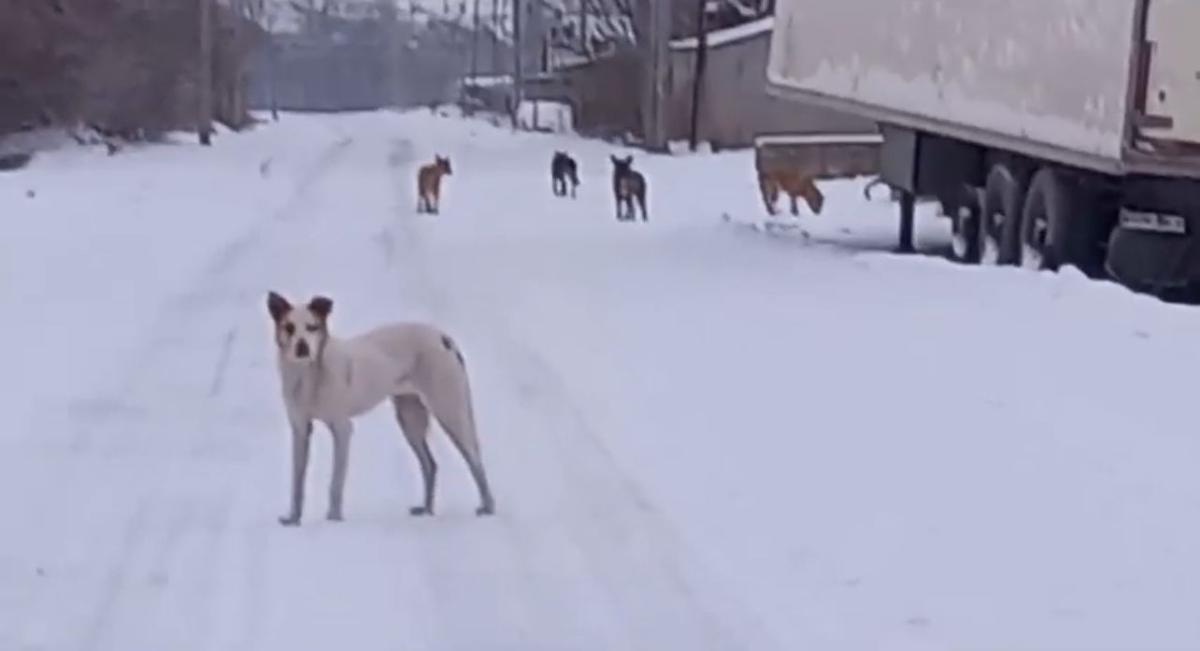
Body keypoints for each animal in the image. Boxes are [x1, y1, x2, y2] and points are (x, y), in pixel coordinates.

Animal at [270, 293, 494, 528]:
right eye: (289, 327)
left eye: (312, 327)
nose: (302, 347)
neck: (309, 376)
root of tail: (444, 337)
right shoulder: (300, 430)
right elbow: (297, 482)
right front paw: (293, 519)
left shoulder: (342, 429)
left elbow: (336, 482)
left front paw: (333, 518)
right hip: (409, 418)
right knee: (430, 464)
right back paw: (426, 509)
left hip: (449, 410)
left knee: (475, 459)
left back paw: (488, 507)